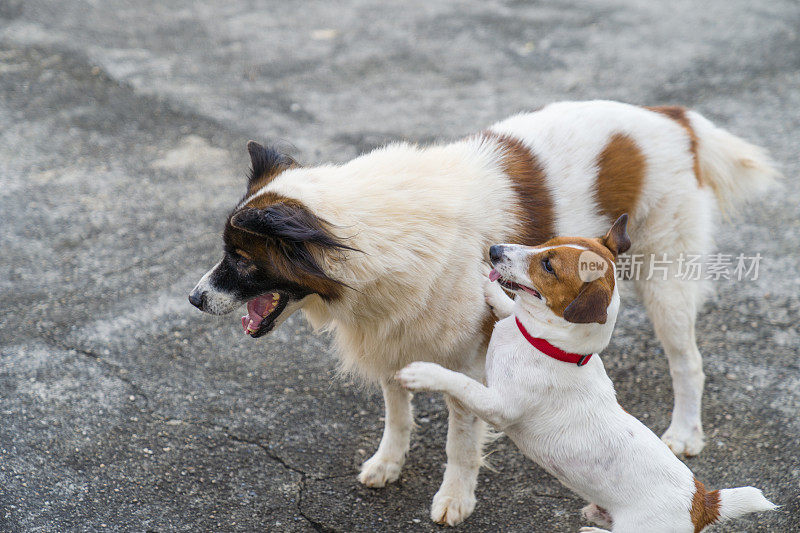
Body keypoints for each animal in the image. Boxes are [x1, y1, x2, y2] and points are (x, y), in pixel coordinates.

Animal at [191, 100, 780, 524]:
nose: (194, 299)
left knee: (688, 362)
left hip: (667, 280)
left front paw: (455, 498)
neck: (375, 239)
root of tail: (670, 117)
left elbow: (460, 439)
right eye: (227, 252)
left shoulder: (469, 363)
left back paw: (685, 432)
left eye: (241, 260)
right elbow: (397, 413)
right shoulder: (393, 339)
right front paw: (389, 462)